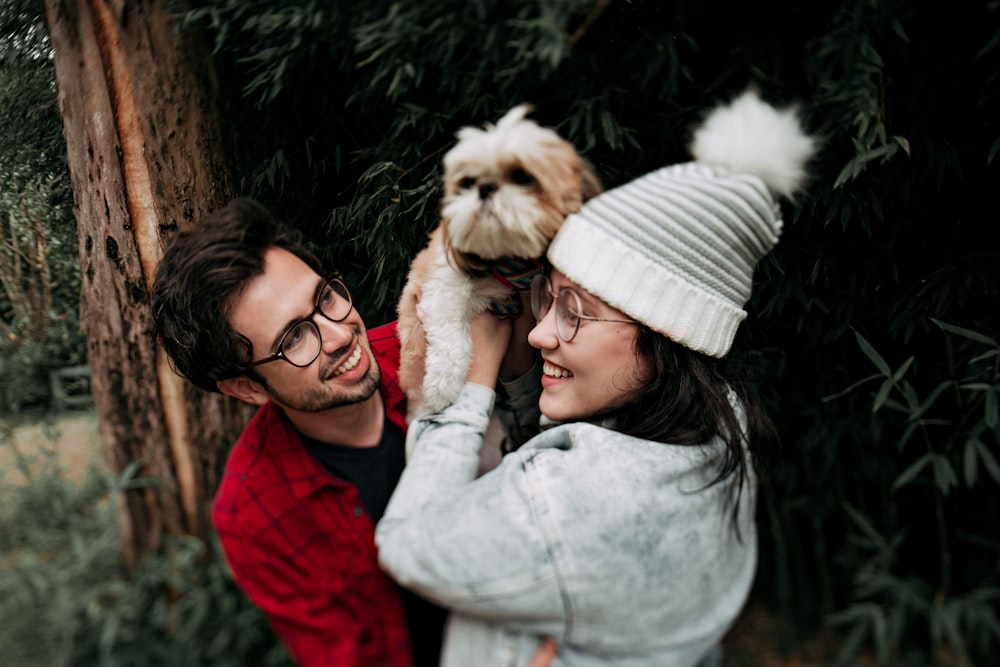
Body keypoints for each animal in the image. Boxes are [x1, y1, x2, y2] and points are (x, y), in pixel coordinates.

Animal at [396, 103, 600, 422]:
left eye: (522, 177)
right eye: (467, 182)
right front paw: (443, 385)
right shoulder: (441, 283)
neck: (509, 261)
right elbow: (452, 335)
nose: (485, 187)